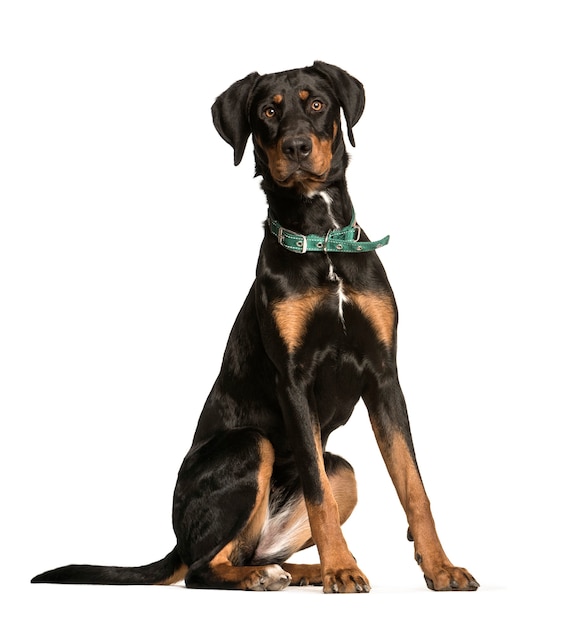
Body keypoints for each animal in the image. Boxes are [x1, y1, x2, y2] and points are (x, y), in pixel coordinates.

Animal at [31, 62, 478, 588]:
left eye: (317, 104)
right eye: (268, 111)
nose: (298, 147)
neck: (321, 242)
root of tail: (178, 538)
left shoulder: (384, 376)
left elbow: (413, 487)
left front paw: (441, 567)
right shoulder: (294, 381)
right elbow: (318, 493)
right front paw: (342, 570)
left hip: (343, 470)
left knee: (257, 545)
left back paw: (300, 570)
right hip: (250, 443)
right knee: (202, 567)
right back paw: (272, 575)